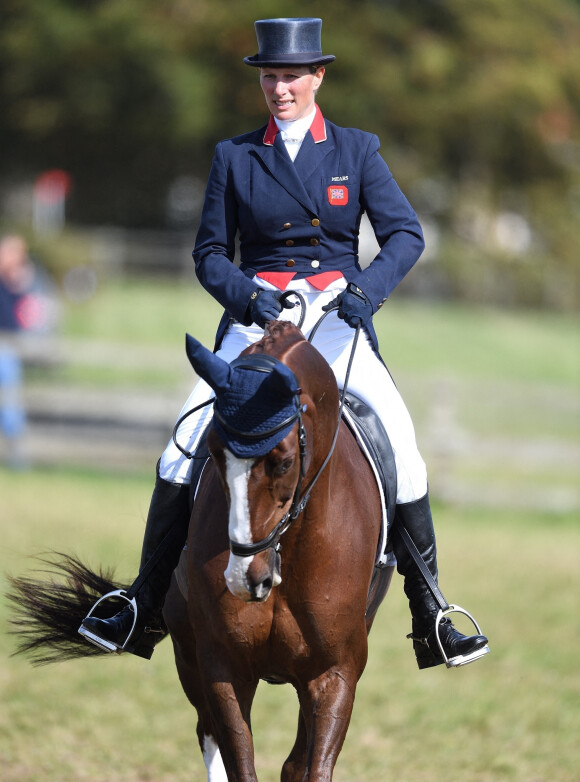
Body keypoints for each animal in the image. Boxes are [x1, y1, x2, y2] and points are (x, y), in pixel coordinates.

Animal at [5, 322, 394, 780]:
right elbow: (238, 762)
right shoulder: (223, 668)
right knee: (208, 736)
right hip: (189, 658)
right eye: (214, 453)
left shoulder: (333, 674)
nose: (245, 578)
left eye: (282, 463)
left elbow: (311, 766)